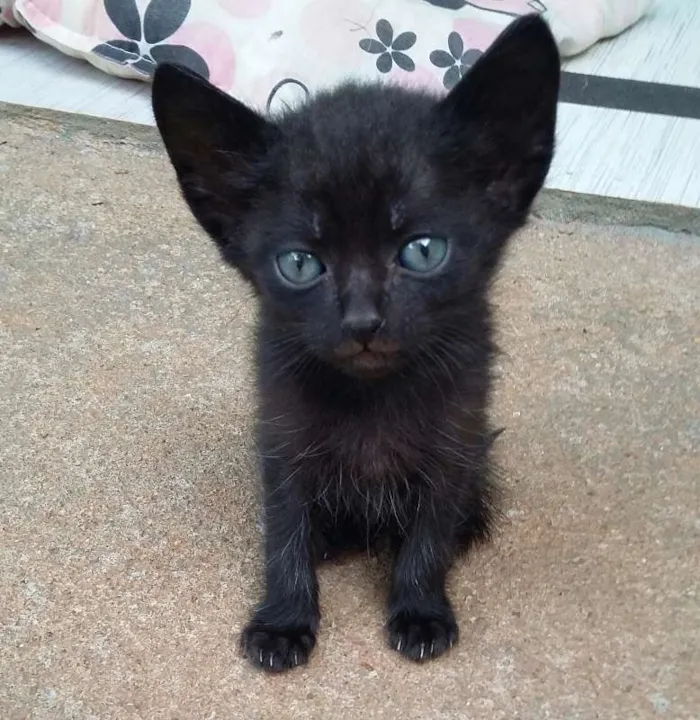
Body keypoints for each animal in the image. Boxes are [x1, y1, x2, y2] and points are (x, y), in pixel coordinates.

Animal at [152, 14, 556, 672]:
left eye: (423, 251)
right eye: (299, 263)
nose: (363, 322)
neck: (373, 402)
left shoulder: (455, 437)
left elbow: (429, 532)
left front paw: (419, 609)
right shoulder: (282, 435)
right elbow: (284, 530)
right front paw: (284, 620)